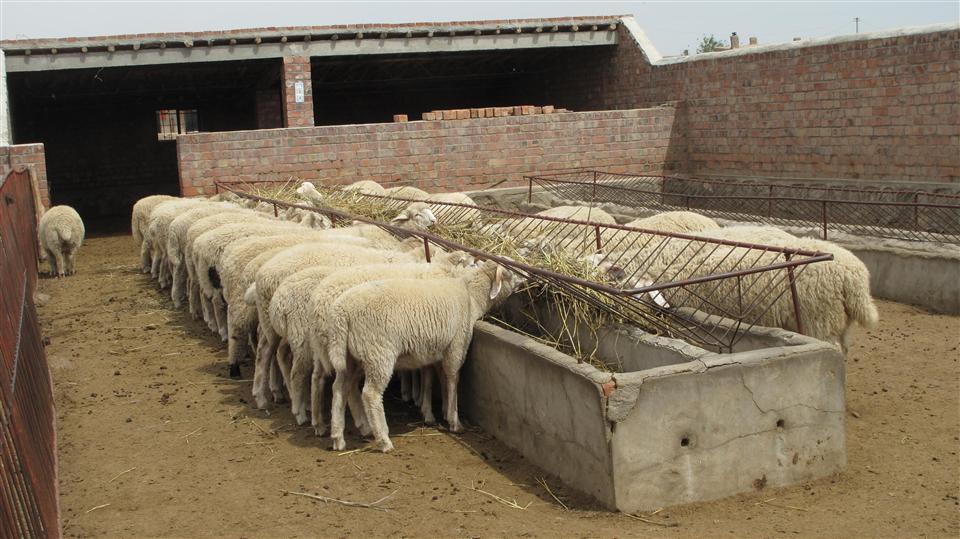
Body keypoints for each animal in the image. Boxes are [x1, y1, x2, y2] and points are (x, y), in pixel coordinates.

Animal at [328, 260, 524, 452]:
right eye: (509, 272)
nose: (523, 280)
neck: (472, 297)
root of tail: (342, 313)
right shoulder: (457, 344)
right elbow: (453, 378)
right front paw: (455, 421)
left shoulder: (434, 350)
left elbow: (433, 379)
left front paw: (438, 412)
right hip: (378, 353)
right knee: (370, 394)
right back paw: (384, 440)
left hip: (351, 357)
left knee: (339, 388)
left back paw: (339, 438)